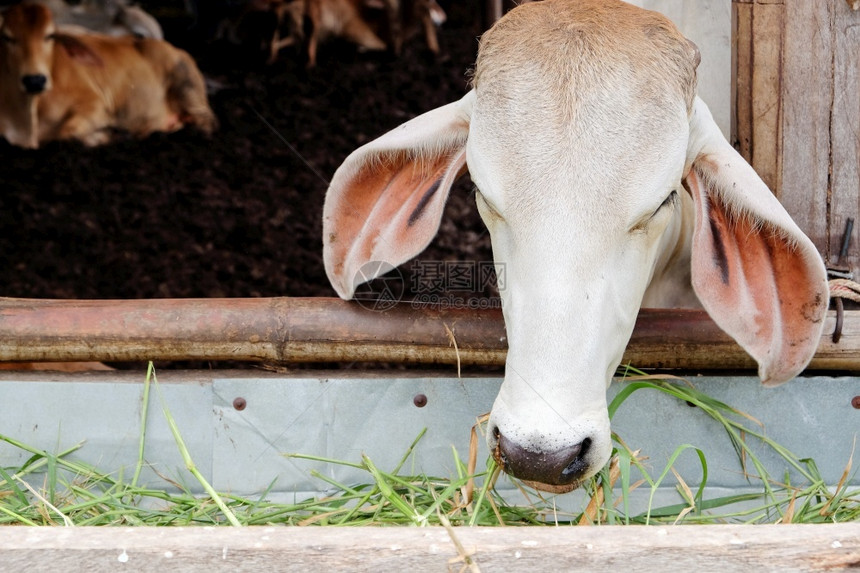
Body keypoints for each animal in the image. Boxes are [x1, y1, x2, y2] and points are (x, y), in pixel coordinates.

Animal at [0, 2, 215, 149]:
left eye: (50, 35)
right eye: (7, 37)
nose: (34, 80)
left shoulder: (97, 104)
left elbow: (68, 131)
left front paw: (109, 134)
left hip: (188, 87)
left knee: (207, 123)